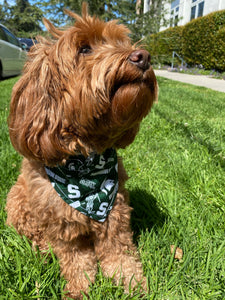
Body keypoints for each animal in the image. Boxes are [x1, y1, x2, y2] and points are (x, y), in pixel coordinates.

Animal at [5, 2, 156, 300]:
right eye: (84, 49)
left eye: (121, 42)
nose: (143, 56)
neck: (85, 159)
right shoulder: (62, 227)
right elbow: (76, 260)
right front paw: (79, 288)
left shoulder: (115, 211)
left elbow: (118, 252)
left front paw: (131, 282)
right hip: (16, 201)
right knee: (35, 235)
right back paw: (43, 250)